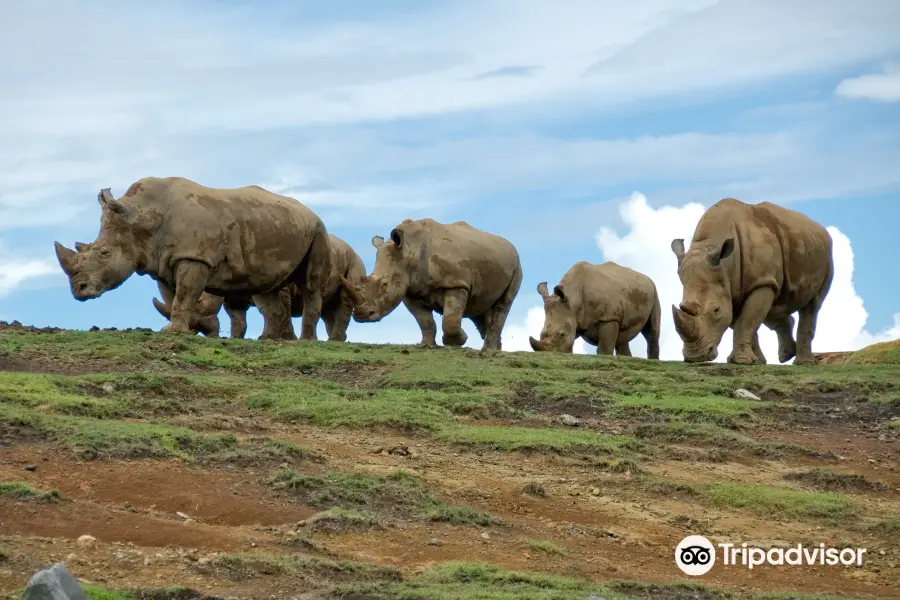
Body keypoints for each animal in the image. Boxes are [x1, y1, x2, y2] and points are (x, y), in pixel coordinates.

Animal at [54, 176, 332, 340]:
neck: (142, 216)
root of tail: (308, 209)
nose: (78, 291)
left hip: (319, 229)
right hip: (276, 226)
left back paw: (306, 342)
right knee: (267, 289)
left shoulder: (194, 257)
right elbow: (175, 297)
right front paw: (181, 331)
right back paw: (271, 341)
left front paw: (172, 332)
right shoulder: (164, 262)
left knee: (310, 284)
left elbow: (184, 294)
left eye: (104, 253)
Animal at [153, 233, 368, 340]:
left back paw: (334, 340)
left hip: (355, 262)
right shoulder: (233, 296)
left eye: (202, 308)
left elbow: (278, 310)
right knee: (328, 309)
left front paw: (276, 337)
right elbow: (238, 317)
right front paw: (237, 338)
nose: (194, 331)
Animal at [342, 217, 524, 350]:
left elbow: (450, 319)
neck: (410, 251)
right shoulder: (409, 291)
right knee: (480, 307)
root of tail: (510, 246)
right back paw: (495, 349)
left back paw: (489, 350)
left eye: (384, 285)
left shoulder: (456, 283)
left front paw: (458, 341)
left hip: (516, 265)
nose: (361, 316)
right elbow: (424, 321)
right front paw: (426, 345)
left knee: (504, 302)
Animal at [528, 262, 660, 356]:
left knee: (652, 332)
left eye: (562, 334)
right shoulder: (576, 318)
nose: (550, 354)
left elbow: (604, 349)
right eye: (541, 334)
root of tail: (647, 278)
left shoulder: (609, 317)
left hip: (654, 291)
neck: (573, 298)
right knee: (623, 337)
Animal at [672, 198, 832, 366]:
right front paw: (755, 361)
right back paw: (787, 355)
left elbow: (746, 321)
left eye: (716, 310)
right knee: (776, 305)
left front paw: (742, 361)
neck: (725, 263)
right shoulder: (731, 287)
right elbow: (744, 321)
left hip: (825, 257)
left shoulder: (761, 282)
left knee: (812, 305)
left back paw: (804, 363)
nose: (694, 357)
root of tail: (820, 228)